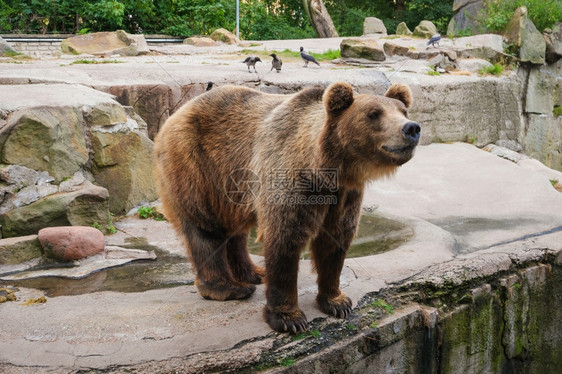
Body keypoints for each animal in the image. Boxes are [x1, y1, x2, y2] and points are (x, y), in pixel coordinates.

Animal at [151, 81, 418, 334]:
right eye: (374, 113)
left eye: (403, 111)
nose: (411, 128)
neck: (325, 168)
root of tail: (176, 113)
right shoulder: (288, 176)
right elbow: (285, 239)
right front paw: (289, 319)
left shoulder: (344, 195)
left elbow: (336, 239)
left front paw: (337, 302)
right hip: (197, 164)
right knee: (203, 225)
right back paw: (228, 288)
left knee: (235, 230)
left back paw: (255, 273)